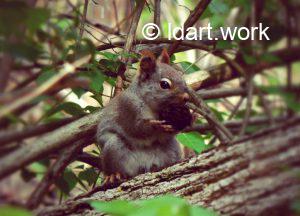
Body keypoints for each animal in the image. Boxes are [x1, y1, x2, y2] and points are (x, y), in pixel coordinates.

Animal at [97, 48, 191, 186]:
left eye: (182, 78)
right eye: (164, 84)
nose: (186, 97)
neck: (150, 105)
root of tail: (144, 167)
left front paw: (187, 117)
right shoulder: (127, 108)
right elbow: (137, 129)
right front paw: (155, 125)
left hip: (172, 148)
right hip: (114, 148)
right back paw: (113, 175)